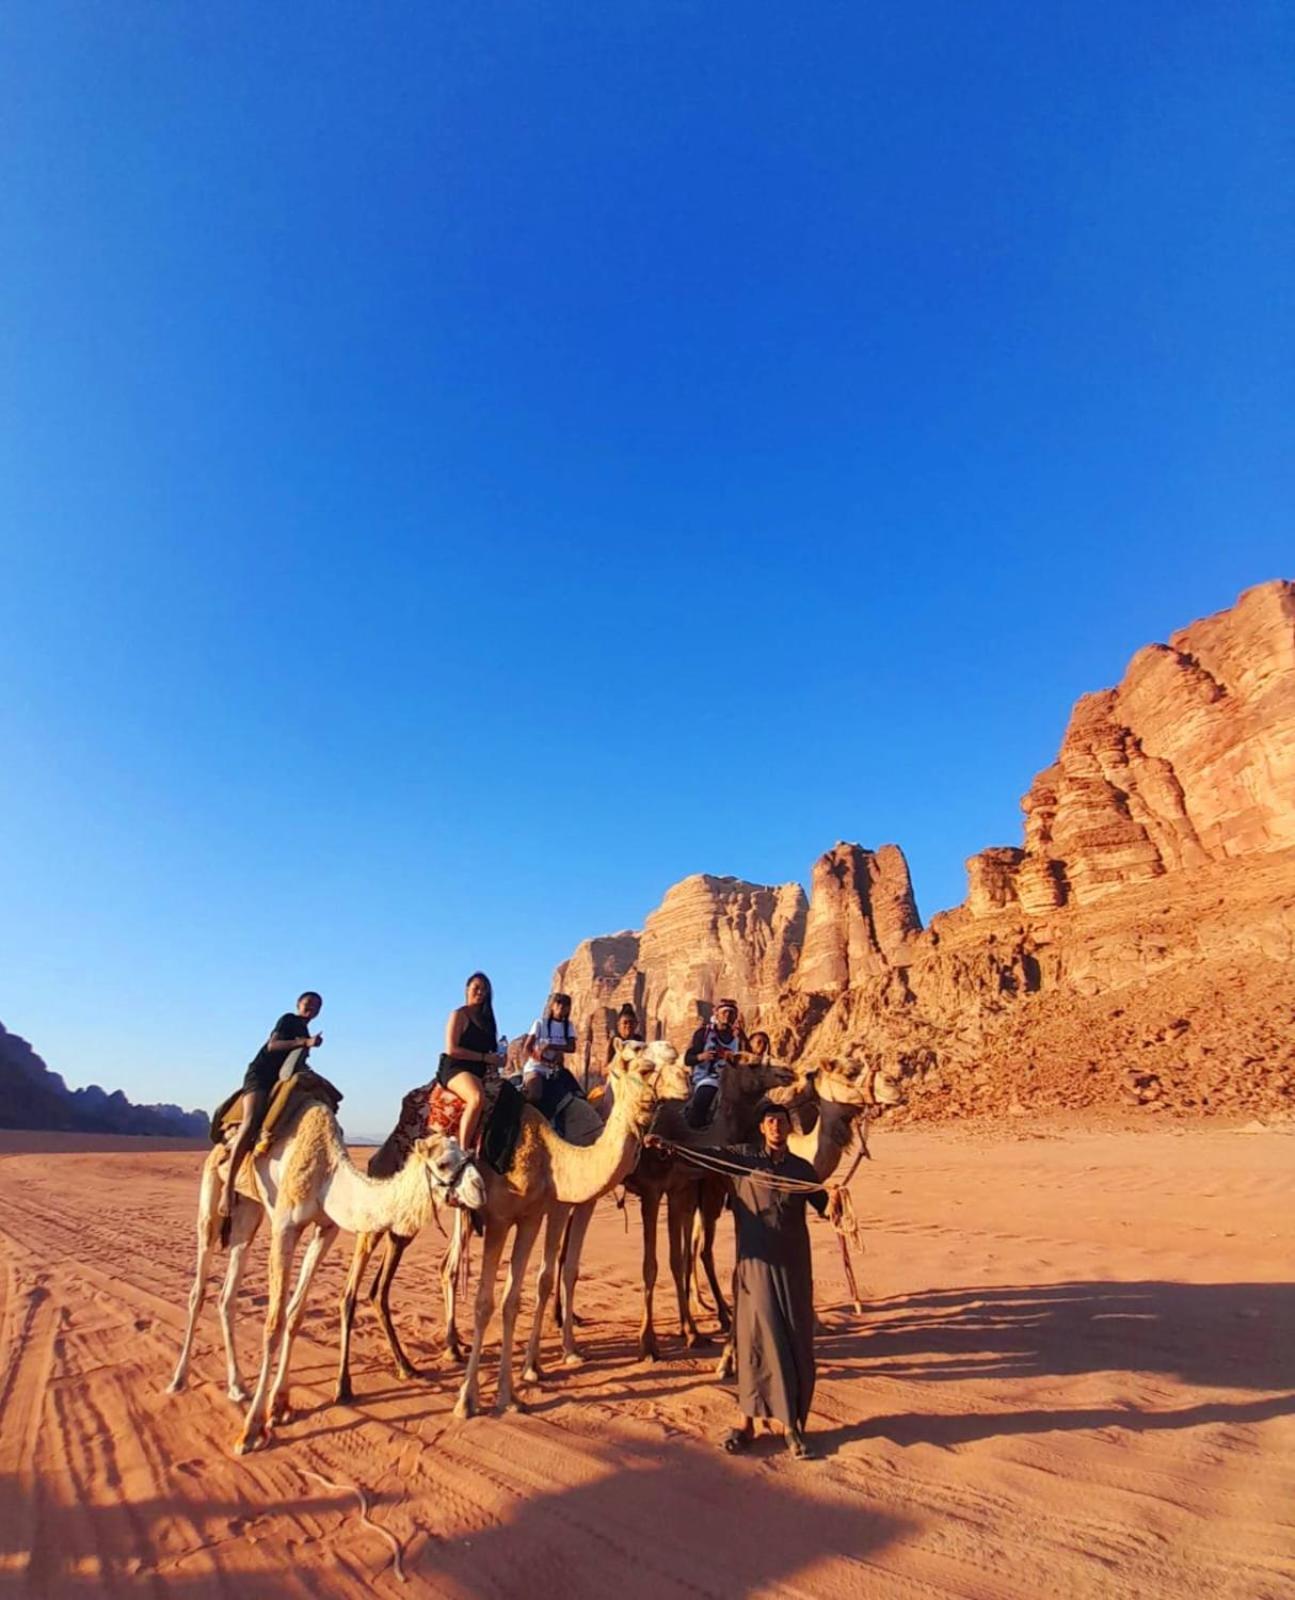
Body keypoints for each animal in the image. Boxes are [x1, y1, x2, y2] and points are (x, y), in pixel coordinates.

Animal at [230, 1100, 480, 1452]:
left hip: (251, 1208)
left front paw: (279, 1407)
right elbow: (274, 1324)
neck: (328, 1174)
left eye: (469, 1154)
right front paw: (250, 1431)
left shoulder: (327, 1228)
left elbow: (295, 1314)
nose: (480, 1187)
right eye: (443, 1164)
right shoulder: (285, 1226)